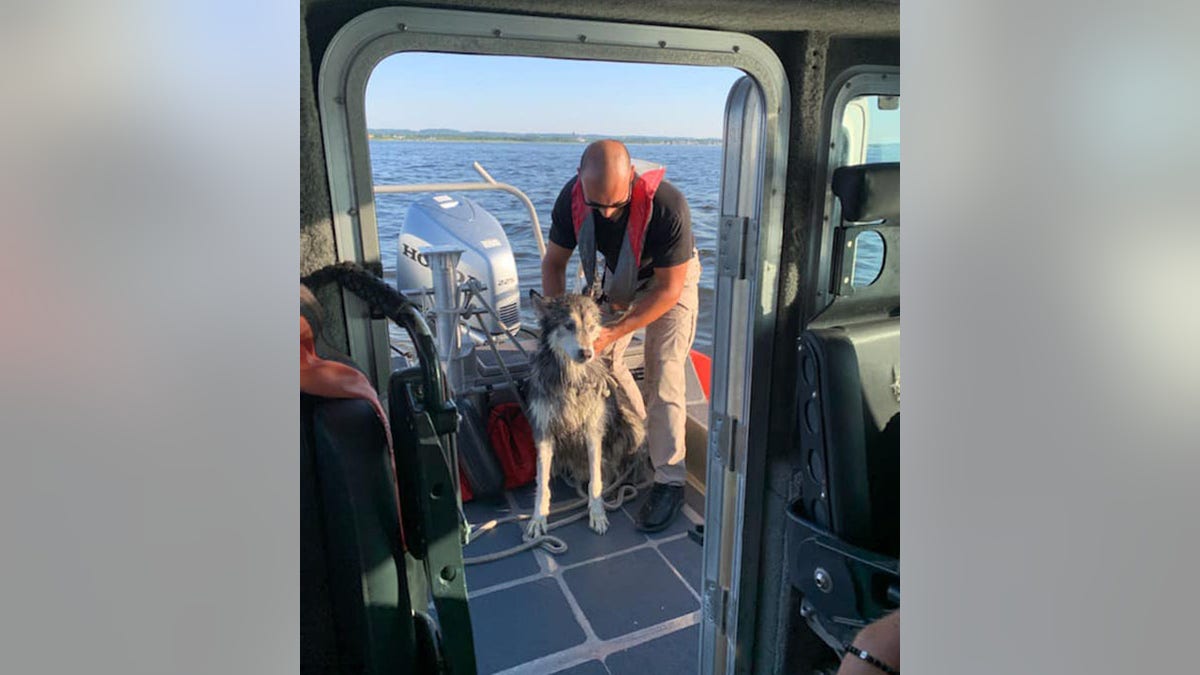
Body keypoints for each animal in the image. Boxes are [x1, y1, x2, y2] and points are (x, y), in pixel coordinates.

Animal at [525, 291, 648, 533]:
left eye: (591, 327)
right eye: (568, 325)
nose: (587, 353)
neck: (572, 380)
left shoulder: (593, 431)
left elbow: (595, 480)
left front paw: (597, 513)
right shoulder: (543, 433)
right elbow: (542, 483)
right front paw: (538, 518)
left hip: (633, 426)